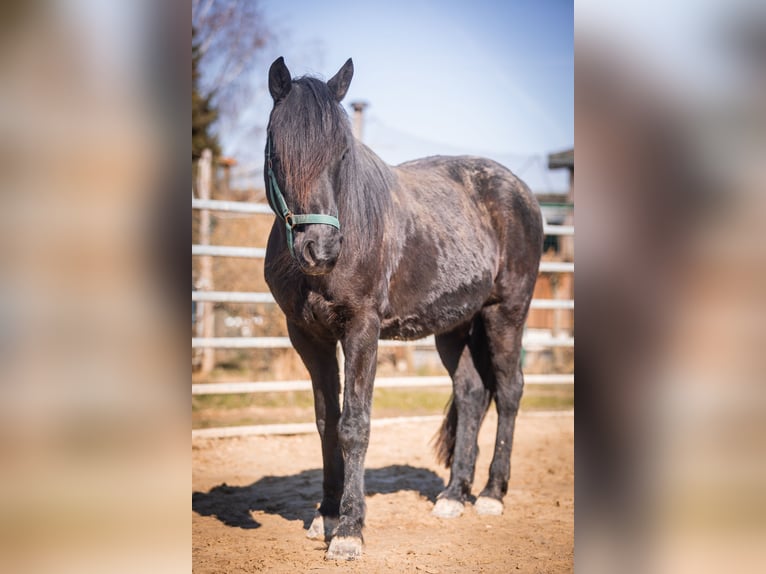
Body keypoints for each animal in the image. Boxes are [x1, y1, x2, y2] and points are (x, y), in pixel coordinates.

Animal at [263, 57, 543, 560]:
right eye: (278, 155)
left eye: (342, 155)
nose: (322, 249)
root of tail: (520, 191)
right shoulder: (308, 337)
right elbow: (326, 422)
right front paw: (326, 515)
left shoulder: (361, 329)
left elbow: (354, 424)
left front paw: (349, 531)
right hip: (453, 326)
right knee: (472, 393)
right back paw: (454, 495)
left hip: (506, 312)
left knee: (510, 390)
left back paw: (492, 494)